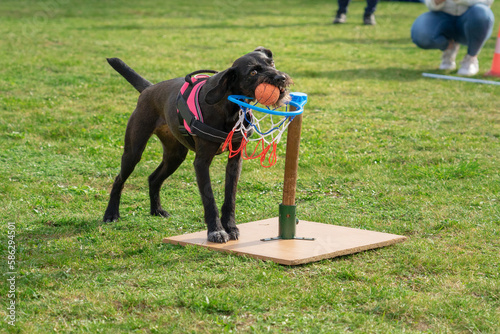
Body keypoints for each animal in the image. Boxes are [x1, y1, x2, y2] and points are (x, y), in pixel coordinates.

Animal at [103, 47, 294, 244]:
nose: (281, 78)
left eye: (271, 63)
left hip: (175, 156)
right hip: (134, 151)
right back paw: (111, 214)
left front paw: (230, 226)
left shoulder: (235, 161)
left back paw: (157, 210)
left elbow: (230, 197)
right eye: (253, 72)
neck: (228, 105)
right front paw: (216, 231)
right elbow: (209, 198)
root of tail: (148, 89)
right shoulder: (201, 163)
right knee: (119, 180)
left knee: (153, 179)